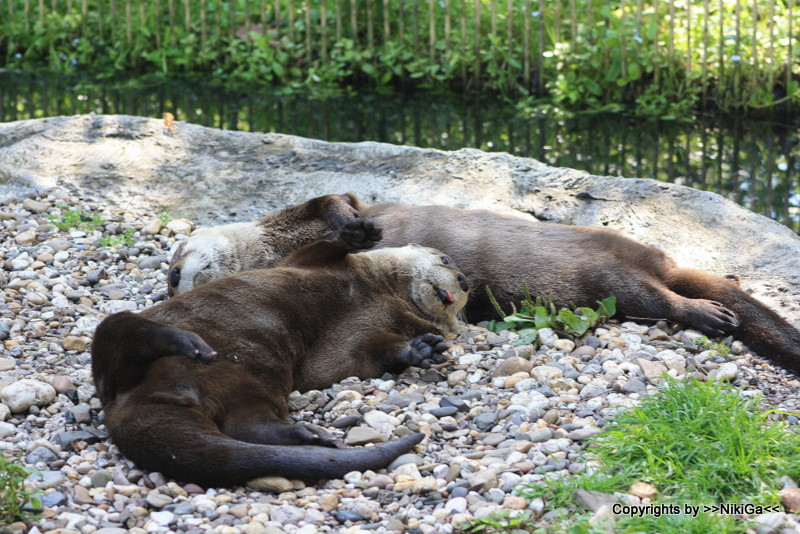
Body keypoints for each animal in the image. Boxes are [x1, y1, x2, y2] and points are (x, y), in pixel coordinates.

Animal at [92, 222, 468, 490]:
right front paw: (358, 231)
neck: (379, 290)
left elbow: (365, 355)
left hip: (253, 381)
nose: (463, 280)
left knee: (249, 423)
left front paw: (420, 348)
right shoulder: (306, 263)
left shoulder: (348, 348)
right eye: (445, 259)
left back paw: (311, 437)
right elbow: (325, 246)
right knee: (115, 332)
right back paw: (184, 341)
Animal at [170, 194, 800, 376]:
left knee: (671, 291)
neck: (271, 242)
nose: (173, 280)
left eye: (176, 263)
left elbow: (336, 207)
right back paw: (714, 309)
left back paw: (717, 307)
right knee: (661, 295)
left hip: (616, 271)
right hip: (611, 282)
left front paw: (358, 224)